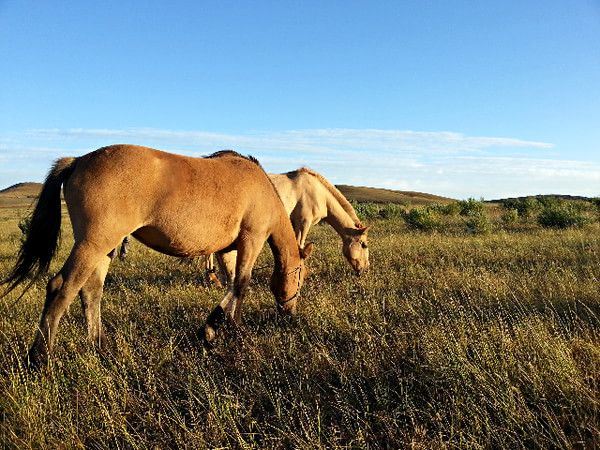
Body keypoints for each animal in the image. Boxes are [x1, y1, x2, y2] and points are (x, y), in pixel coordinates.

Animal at [3, 145, 314, 370]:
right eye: (301, 277)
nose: (289, 312)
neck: (262, 188)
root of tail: (78, 160)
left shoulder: (228, 249)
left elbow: (234, 285)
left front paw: (227, 328)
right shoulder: (252, 238)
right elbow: (241, 284)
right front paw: (216, 330)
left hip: (103, 249)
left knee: (90, 292)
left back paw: (101, 348)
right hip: (93, 244)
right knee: (61, 288)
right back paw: (39, 359)